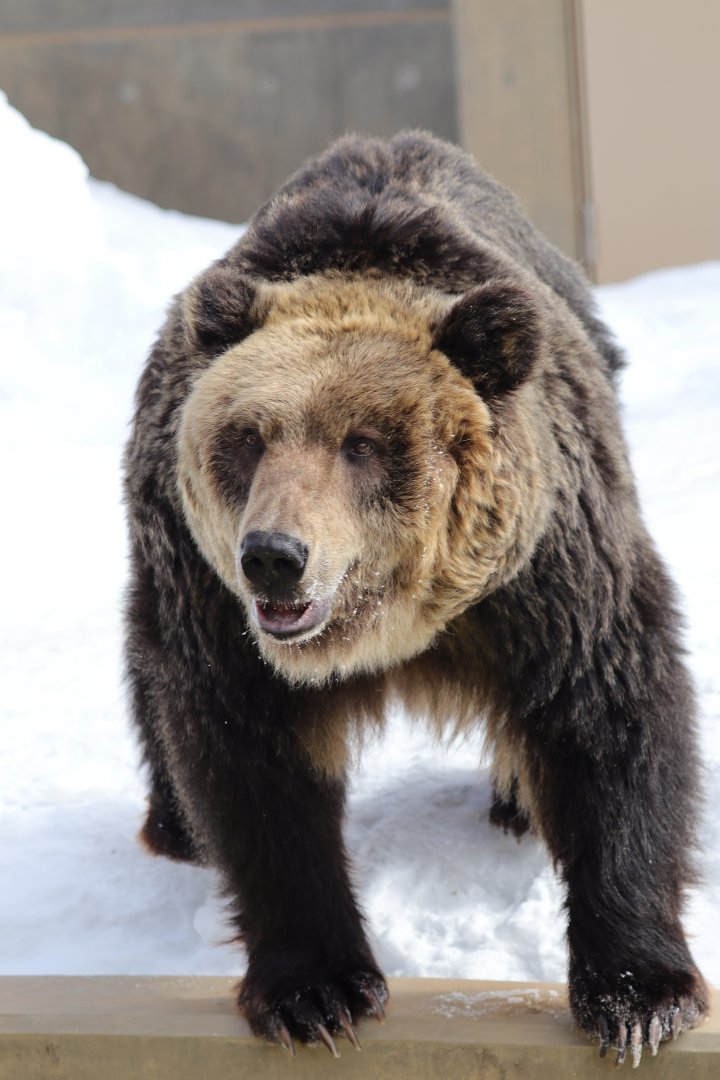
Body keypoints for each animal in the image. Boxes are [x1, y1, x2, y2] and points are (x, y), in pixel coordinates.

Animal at [123, 130, 708, 1066]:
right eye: (247, 437)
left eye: (362, 442)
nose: (274, 557)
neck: (396, 627)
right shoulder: (216, 611)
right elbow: (253, 770)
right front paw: (316, 991)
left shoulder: (546, 576)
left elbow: (609, 720)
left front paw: (639, 995)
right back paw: (177, 826)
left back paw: (516, 803)